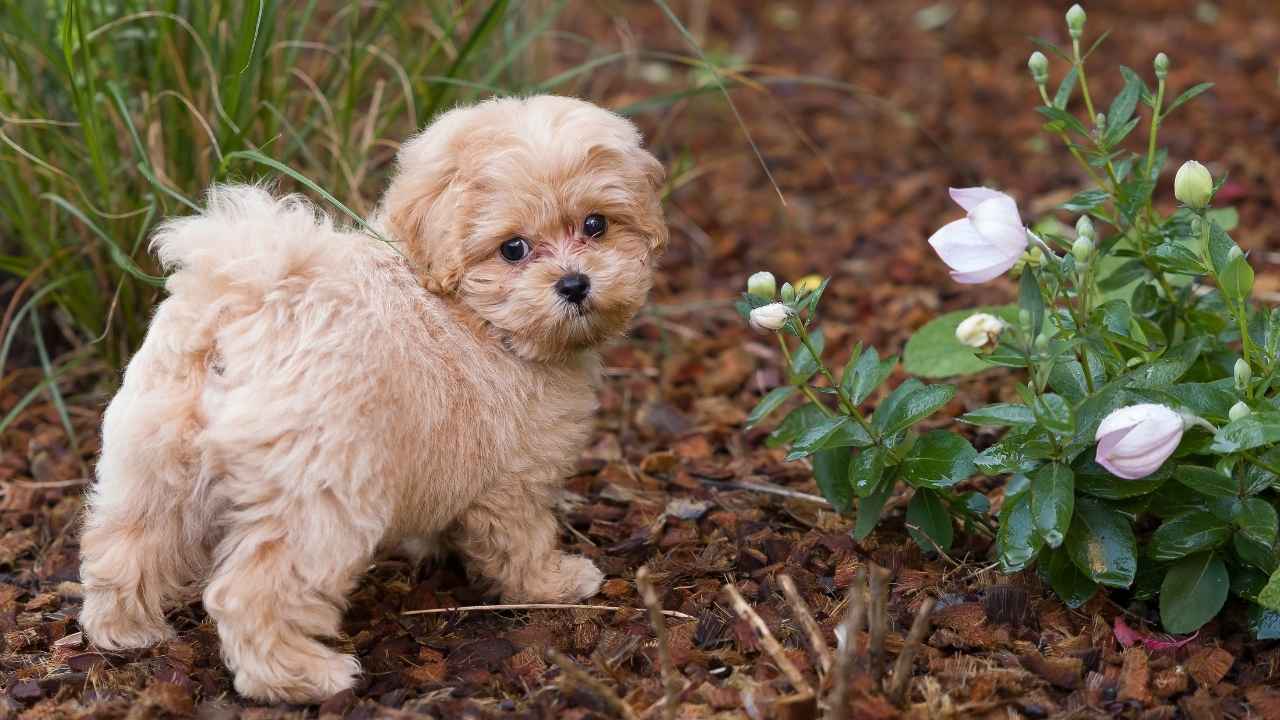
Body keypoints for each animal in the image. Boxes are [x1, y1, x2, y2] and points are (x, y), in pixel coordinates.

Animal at [77, 95, 670, 702]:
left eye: (596, 225)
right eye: (514, 249)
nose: (574, 284)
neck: (470, 312)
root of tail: (247, 303)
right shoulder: (515, 476)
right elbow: (520, 539)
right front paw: (554, 583)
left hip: (153, 462)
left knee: (122, 544)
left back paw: (124, 631)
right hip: (320, 499)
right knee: (251, 591)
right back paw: (302, 677)